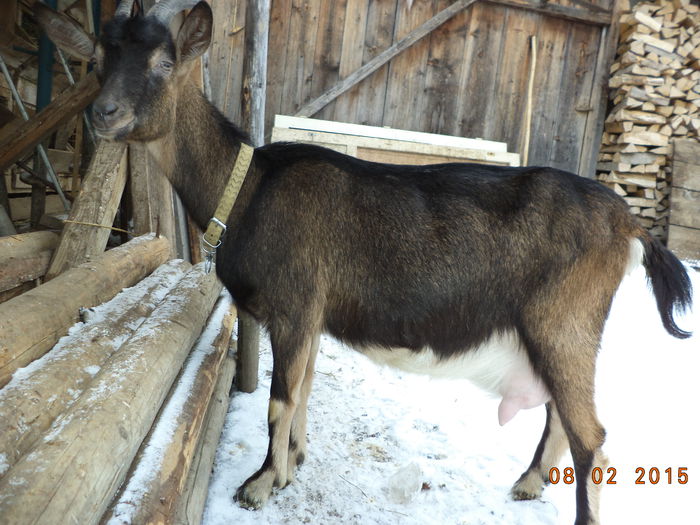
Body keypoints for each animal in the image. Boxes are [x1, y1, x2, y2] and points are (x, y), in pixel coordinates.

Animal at [39, 2, 696, 520]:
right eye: (96, 62)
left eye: (164, 63)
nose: (104, 115)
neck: (248, 187)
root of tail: (628, 223)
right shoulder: (310, 318)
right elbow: (303, 390)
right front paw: (292, 465)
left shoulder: (295, 306)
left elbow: (280, 398)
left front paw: (259, 484)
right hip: (564, 333)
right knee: (564, 417)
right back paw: (528, 484)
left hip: (563, 322)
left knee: (593, 438)